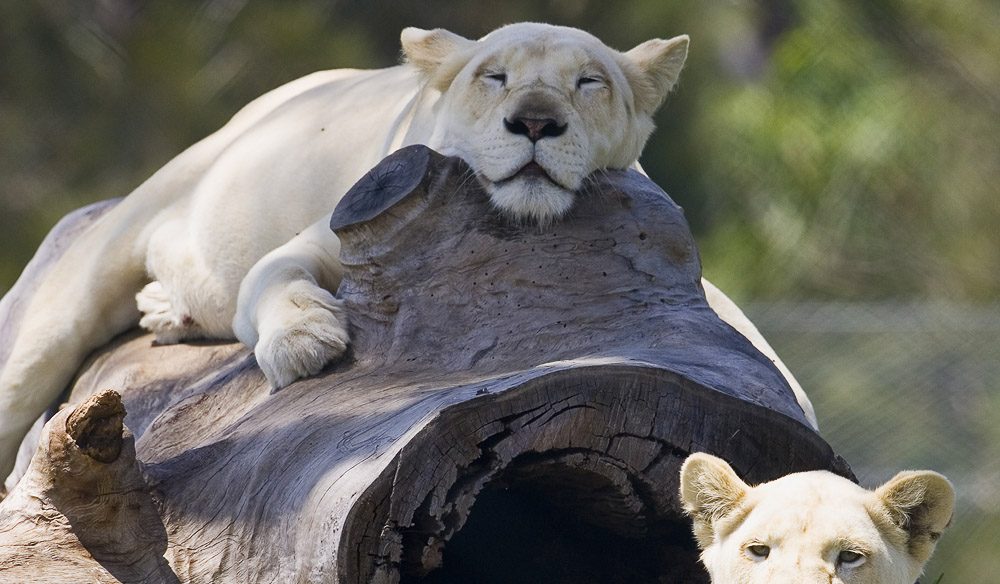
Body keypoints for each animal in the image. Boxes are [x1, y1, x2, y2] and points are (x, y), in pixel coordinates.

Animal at [0, 23, 817, 483]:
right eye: (495, 77)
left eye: (588, 83)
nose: (536, 122)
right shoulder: (336, 228)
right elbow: (272, 282)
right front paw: (305, 343)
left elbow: (742, 328)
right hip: (89, 270)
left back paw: (165, 310)